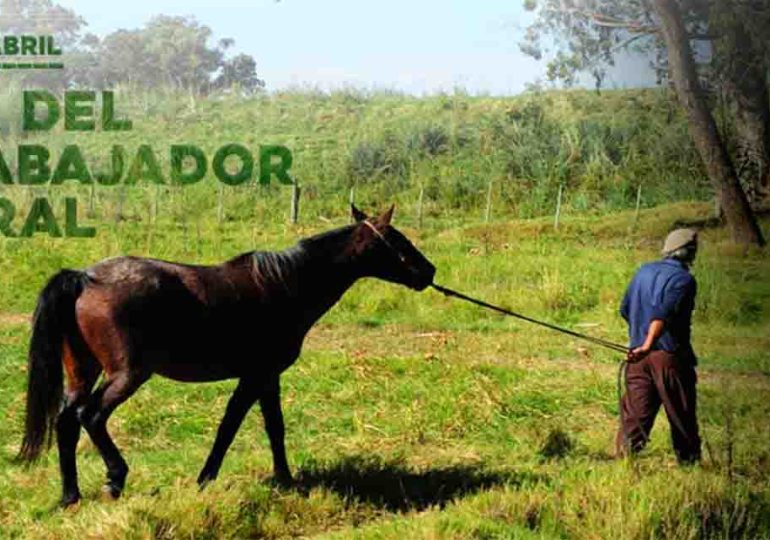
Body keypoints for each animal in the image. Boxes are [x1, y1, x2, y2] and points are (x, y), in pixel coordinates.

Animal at [18, 205, 436, 508]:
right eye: (397, 240)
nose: (429, 271)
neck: (286, 285)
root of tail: (84, 277)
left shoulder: (267, 377)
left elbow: (273, 428)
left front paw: (283, 480)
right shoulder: (256, 376)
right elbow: (230, 427)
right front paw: (210, 479)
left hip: (81, 372)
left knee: (67, 422)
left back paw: (70, 496)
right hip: (127, 374)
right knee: (92, 416)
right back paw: (115, 477)